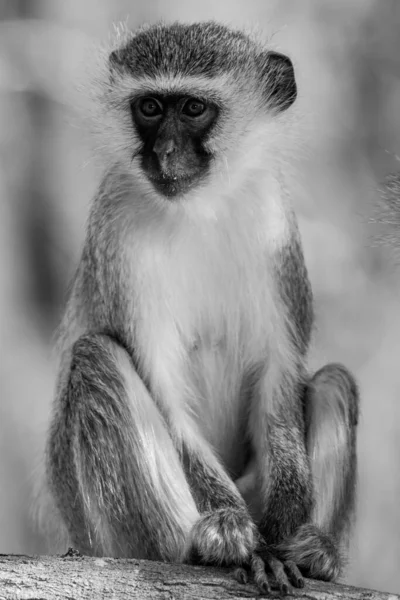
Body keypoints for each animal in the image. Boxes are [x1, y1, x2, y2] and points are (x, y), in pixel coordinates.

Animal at [46, 21, 360, 592]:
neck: (201, 208)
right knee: (96, 358)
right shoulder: (118, 232)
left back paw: (315, 550)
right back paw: (208, 546)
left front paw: (285, 532)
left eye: (193, 108)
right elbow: (166, 391)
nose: (166, 152)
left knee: (333, 383)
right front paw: (235, 534)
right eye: (150, 107)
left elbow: (279, 376)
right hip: (117, 539)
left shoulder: (275, 227)